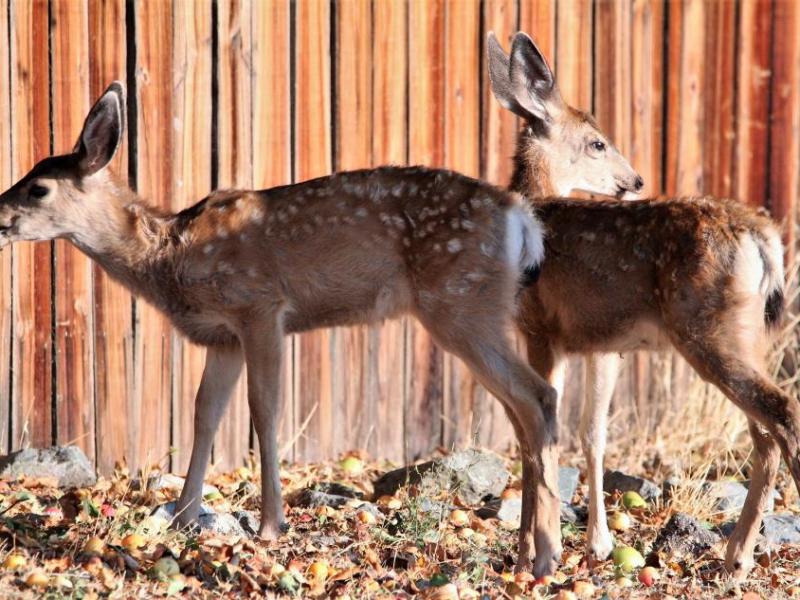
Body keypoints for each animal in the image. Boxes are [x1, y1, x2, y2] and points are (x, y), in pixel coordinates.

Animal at [0, 82, 567, 576]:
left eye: (38, 187)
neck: (170, 256)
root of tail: (522, 219)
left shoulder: (260, 307)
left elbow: (263, 411)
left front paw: (271, 524)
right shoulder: (223, 337)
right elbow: (205, 414)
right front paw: (183, 517)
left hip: (460, 302)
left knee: (538, 396)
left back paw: (544, 556)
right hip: (475, 308)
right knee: (524, 413)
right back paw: (526, 553)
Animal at [487, 32, 796, 579]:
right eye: (597, 143)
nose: (633, 181)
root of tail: (763, 239)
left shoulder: (542, 328)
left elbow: (536, 435)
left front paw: (532, 555)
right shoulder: (601, 344)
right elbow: (589, 434)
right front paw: (588, 544)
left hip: (709, 330)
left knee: (781, 414)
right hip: (744, 335)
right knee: (764, 435)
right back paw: (735, 558)